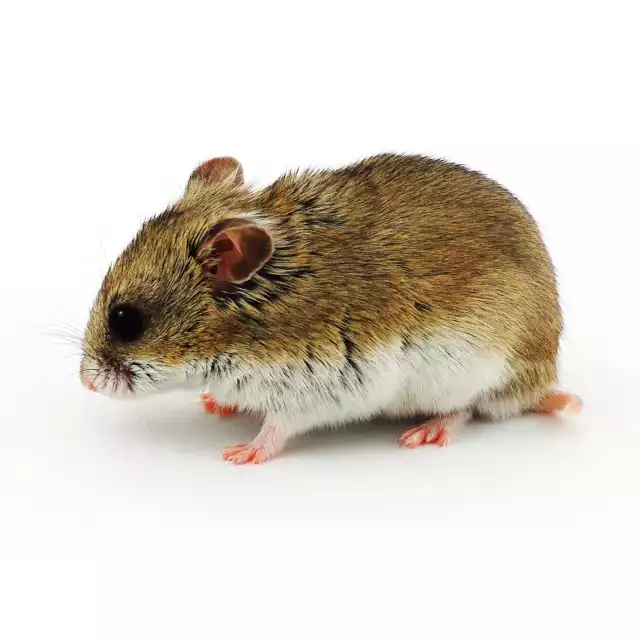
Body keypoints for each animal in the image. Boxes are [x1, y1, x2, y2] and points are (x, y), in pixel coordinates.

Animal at [80, 153, 581, 464]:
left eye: (125, 320)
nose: (85, 383)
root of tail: (540, 380)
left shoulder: (309, 389)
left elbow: (276, 428)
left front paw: (239, 454)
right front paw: (214, 403)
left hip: (469, 373)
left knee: (467, 410)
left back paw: (424, 433)